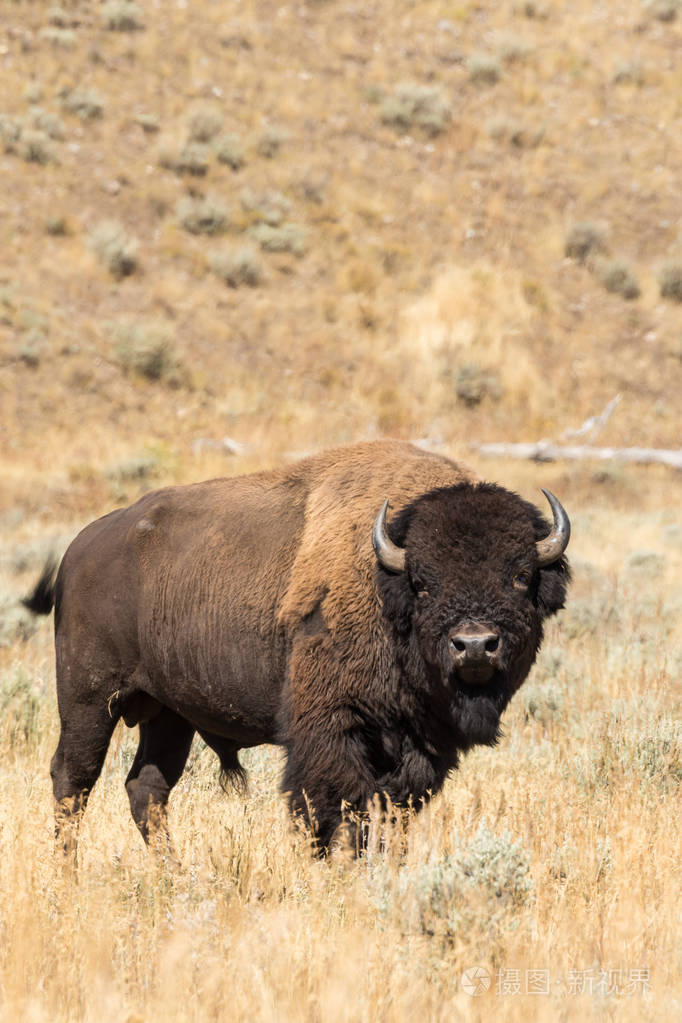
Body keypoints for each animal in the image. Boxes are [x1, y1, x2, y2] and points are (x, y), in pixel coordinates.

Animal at [25, 443, 572, 851]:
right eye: (422, 583)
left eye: (521, 576)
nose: (475, 645)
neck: (383, 576)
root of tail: (80, 548)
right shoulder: (332, 730)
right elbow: (336, 811)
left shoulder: (418, 749)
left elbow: (391, 815)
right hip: (89, 699)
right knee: (72, 781)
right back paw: (68, 877)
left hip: (168, 713)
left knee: (147, 788)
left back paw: (173, 876)